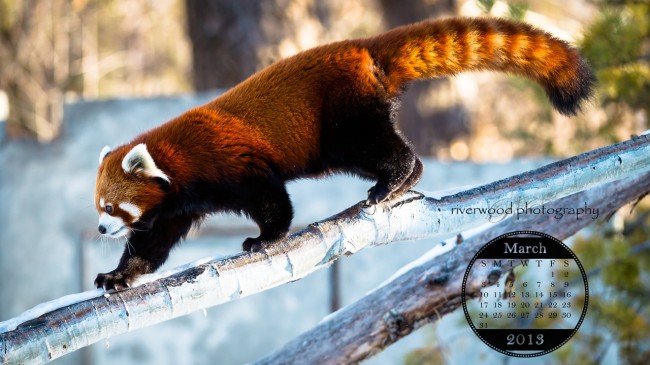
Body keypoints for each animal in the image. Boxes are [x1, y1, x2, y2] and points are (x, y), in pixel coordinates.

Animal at [95, 17, 592, 290]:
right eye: (98, 207)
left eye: (110, 207)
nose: (100, 229)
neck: (180, 162)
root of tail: (359, 46)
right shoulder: (178, 204)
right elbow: (152, 245)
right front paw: (117, 276)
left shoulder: (228, 162)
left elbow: (271, 199)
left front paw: (265, 237)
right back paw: (405, 180)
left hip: (340, 120)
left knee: (379, 148)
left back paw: (394, 179)